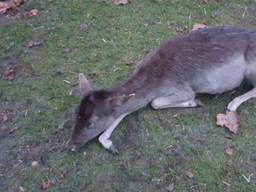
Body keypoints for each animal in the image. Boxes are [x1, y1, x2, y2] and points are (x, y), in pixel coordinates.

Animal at [66, 26, 256, 154]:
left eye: (91, 123)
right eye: (76, 114)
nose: (70, 144)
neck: (155, 80)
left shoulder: (182, 88)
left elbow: (155, 102)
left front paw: (194, 102)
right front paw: (109, 144)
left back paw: (232, 104)